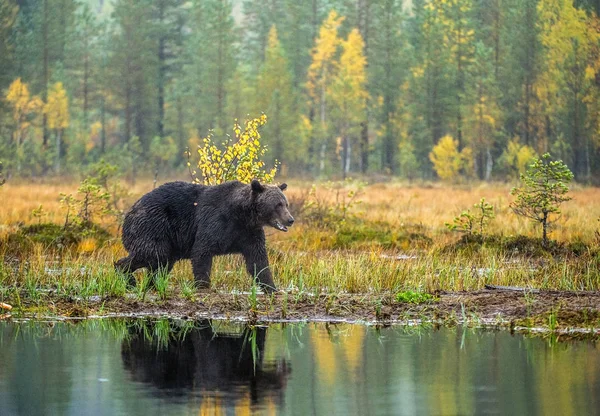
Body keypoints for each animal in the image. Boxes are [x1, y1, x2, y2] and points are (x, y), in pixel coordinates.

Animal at [114, 179, 292, 292]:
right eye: (278, 205)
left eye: (286, 203)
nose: (290, 219)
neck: (242, 214)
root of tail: (129, 213)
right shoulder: (215, 222)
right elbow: (202, 251)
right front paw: (203, 285)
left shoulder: (248, 232)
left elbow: (258, 260)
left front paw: (272, 288)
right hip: (153, 225)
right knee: (152, 254)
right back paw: (127, 277)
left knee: (162, 263)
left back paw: (153, 284)